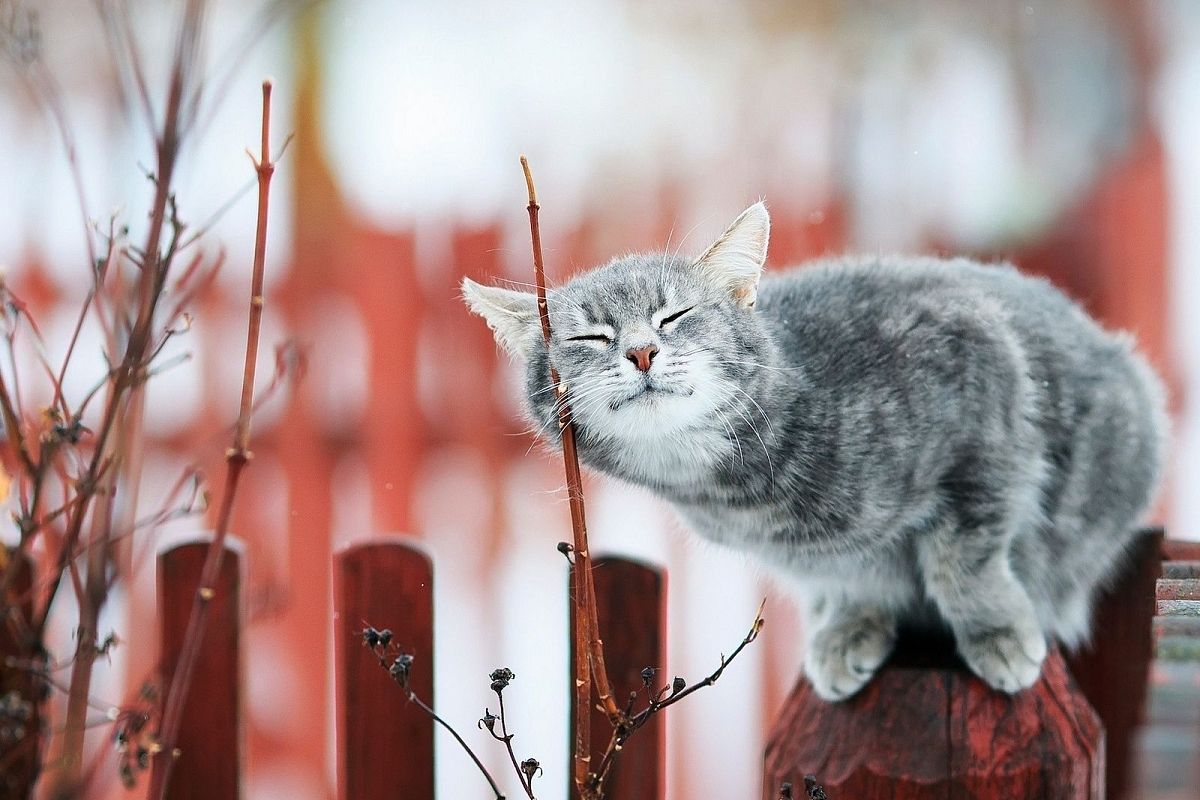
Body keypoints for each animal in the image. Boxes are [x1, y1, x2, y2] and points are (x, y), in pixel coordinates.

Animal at [456, 203, 1161, 705]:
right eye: (590, 337)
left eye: (675, 316)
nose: (640, 351)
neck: (740, 493)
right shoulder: (816, 559)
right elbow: (850, 576)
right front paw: (850, 624)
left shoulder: (985, 405)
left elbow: (963, 560)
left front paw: (996, 630)